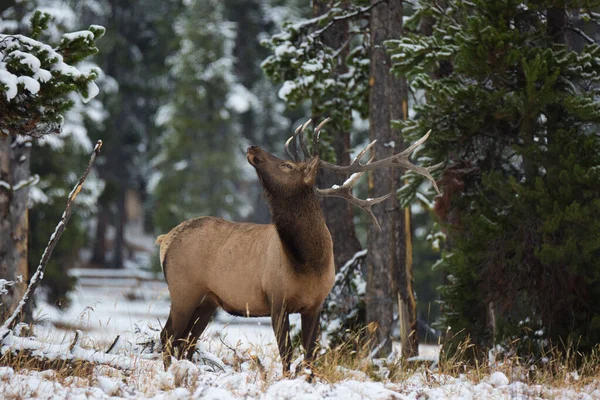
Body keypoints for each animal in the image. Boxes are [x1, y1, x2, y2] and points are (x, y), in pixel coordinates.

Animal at [154, 118, 436, 372]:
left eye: (287, 164)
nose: (253, 147)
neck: (308, 262)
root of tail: (165, 239)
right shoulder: (277, 299)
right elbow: (287, 354)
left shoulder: (315, 304)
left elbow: (311, 354)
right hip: (183, 290)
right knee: (168, 336)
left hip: (207, 300)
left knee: (185, 341)